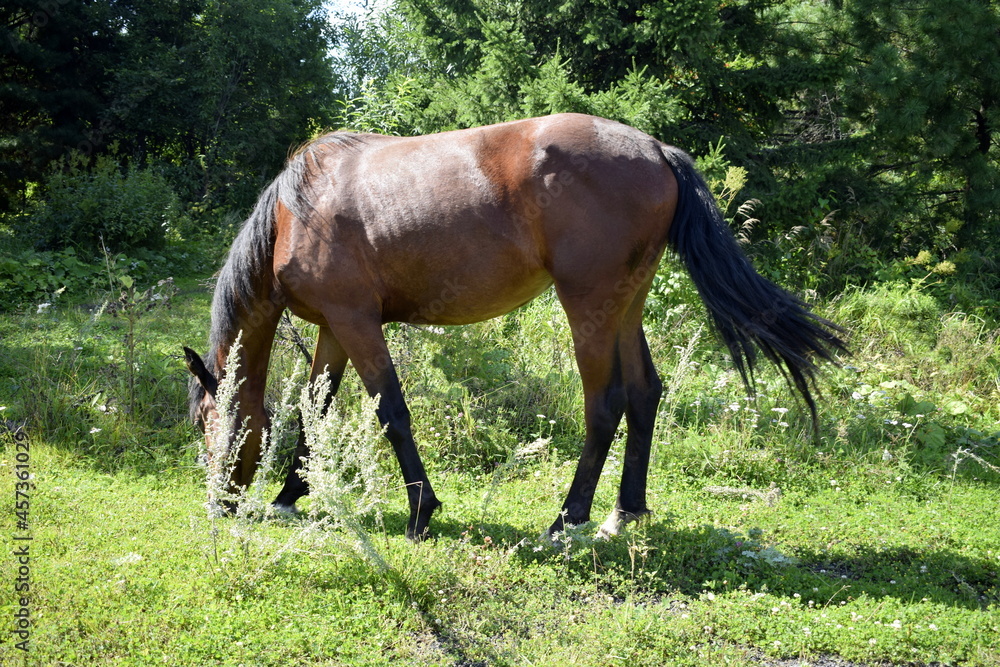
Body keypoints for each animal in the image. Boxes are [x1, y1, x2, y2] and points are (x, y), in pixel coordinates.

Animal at [184, 113, 846, 541]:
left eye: (204, 422)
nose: (216, 505)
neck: (297, 210)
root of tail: (657, 149)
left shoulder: (356, 322)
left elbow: (390, 411)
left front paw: (421, 512)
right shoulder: (334, 327)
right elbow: (312, 408)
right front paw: (290, 495)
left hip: (589, 305)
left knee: (605, 402)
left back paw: (568, 519)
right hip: (626, 304)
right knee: (644, 394)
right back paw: (625, 512)